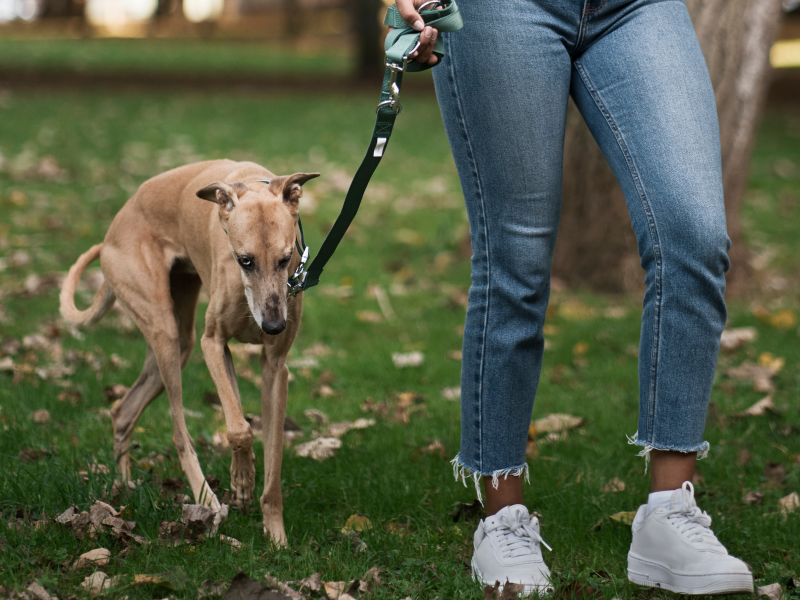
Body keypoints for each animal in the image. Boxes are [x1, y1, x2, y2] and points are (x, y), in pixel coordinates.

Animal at [59, 159, 318, 544]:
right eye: (245, 260)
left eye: (286, 259)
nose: (273, 327)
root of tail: (112, 233)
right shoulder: (213, 344)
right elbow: (239, 427)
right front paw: (242, 481)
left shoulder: (274, 366)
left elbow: (269, 458)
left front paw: (275, 536)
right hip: (165, 334)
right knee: (180, 435)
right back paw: (206, 501)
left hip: (178, 340)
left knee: (123, 412)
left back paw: (123, 489)